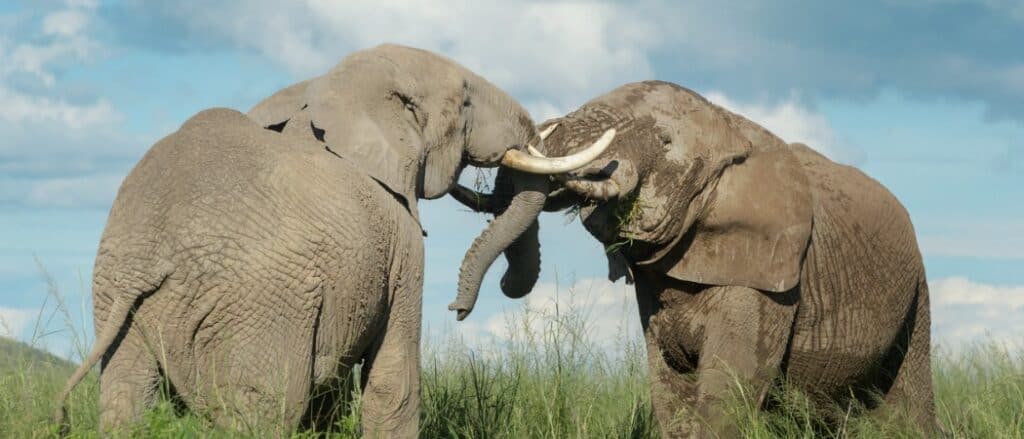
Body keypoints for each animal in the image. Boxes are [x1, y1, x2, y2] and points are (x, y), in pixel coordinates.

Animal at [54, 44, 606, 433]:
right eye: (467, 99)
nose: (459, 309)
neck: (339, 85)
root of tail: (148, 255)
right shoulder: (403, 246)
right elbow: (392, 382)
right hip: (259, 307)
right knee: (263, 407)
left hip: (117, 300)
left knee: (126, 400)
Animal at [452, 81, 937, 433]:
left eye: (665, 140)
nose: (458, 310)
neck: (732, 128)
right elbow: (670, 389)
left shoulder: (768, 276)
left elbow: (729, 391)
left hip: (917, 290)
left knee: (906, 404)